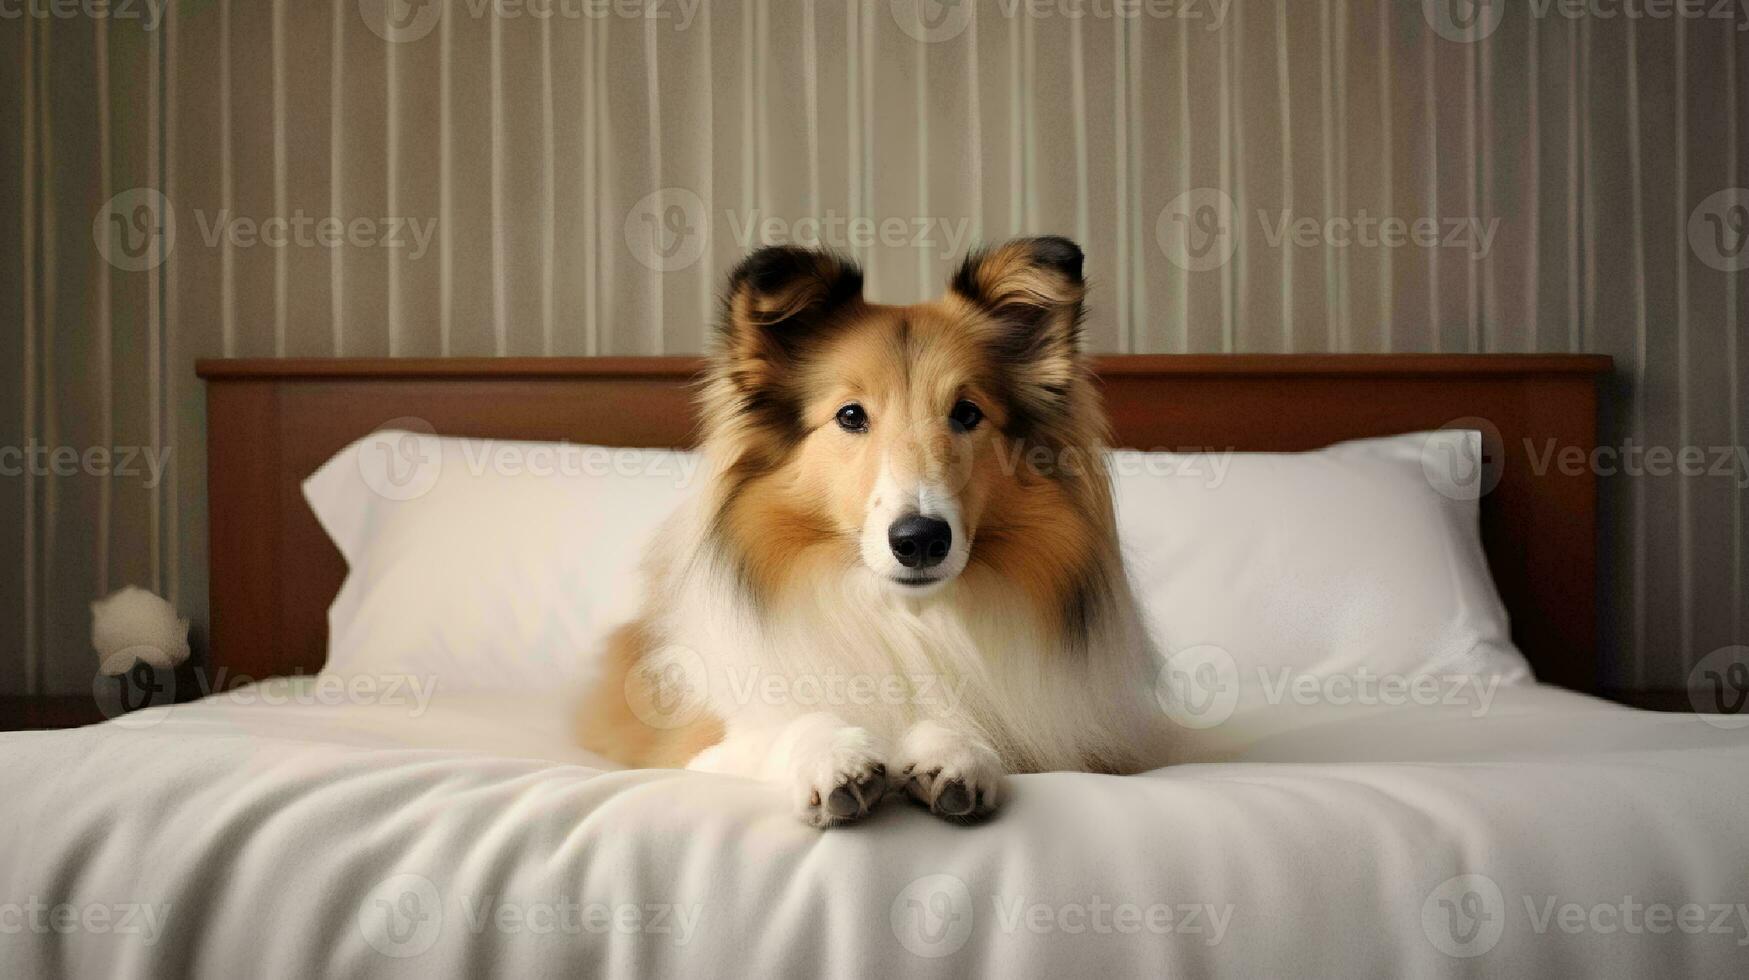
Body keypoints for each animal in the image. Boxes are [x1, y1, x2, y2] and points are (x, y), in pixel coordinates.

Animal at [580, 238, 1168, 826]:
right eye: (850, 415)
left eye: (967, 413)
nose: (920, 540)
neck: (904, 616)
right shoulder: (699, 749)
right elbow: (785, 725)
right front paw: (835, 757)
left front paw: (954, 749)